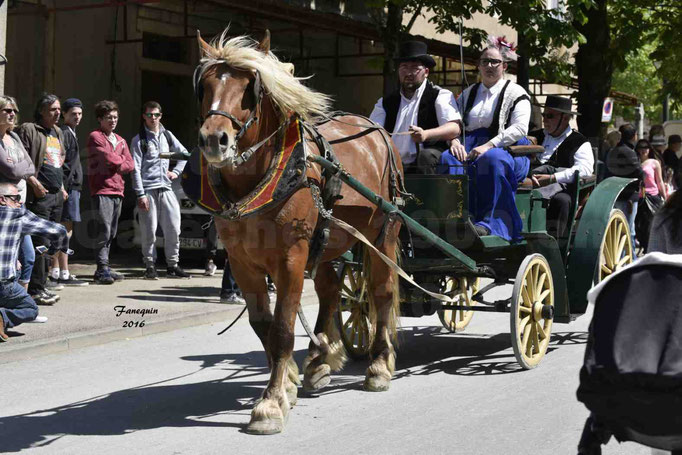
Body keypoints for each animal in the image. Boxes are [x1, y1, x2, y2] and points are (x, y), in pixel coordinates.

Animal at [193, 30, 404, 436]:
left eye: (250, 88)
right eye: (206, 85)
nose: (214, 140)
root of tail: (379, 133)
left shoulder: (291, 256)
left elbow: (283, 329)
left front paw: (271, 404)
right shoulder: (242, 262)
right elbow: (264, 325)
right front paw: (287, 381)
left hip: (381, 235)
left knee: (382, 292)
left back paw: (378, 366)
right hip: (327, 240)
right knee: (331, 290)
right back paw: (320, 359)